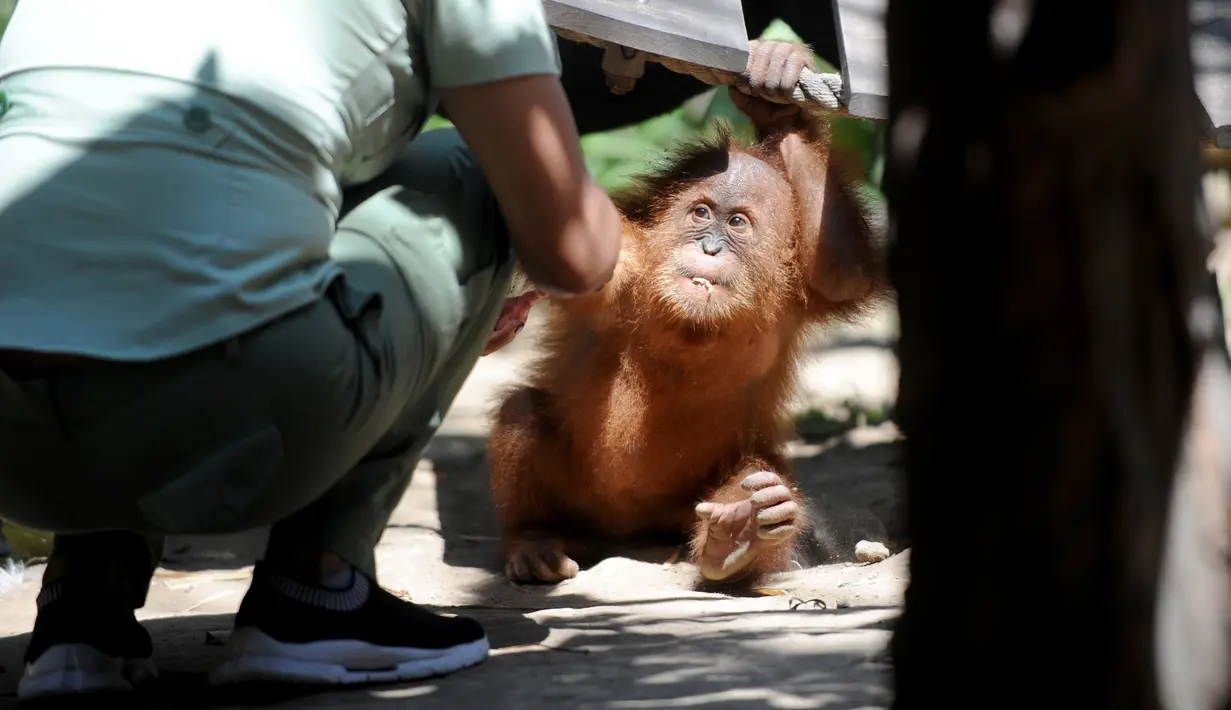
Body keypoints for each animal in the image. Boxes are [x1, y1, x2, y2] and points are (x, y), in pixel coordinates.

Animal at [485, 40, 887, 588]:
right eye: (700, 213)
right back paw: (534, 544)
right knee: (522, 413)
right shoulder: (627, 262)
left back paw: (740, 534)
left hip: (685, 508)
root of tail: (626, 532)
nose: (710, 247)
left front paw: (779, 91)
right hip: (582, 509)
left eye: (736, 223)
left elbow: (842, 272)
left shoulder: (798, 295)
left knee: (757, 474)